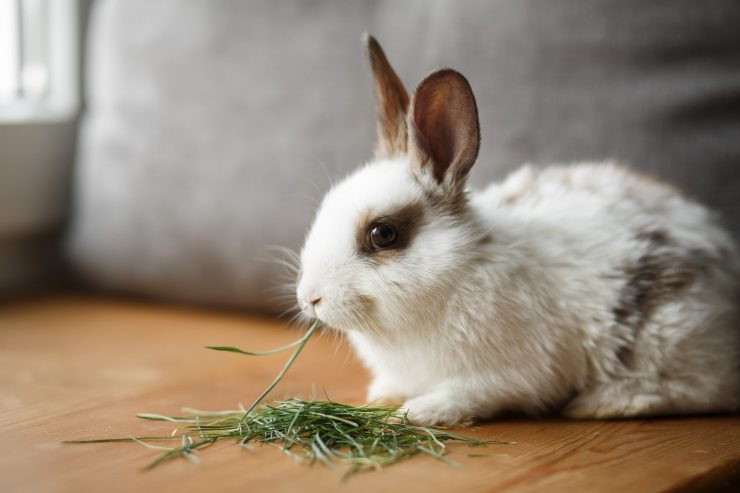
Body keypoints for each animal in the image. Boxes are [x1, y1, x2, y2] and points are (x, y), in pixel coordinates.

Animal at [294, 34, 740, 424]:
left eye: (383, 234)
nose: (309, 298)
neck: (457, 271)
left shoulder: (507, 375)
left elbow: (468, 394)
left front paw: (420, 412)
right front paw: (383, 396)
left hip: (669, 332)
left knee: (703, 389)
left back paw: (604, 403)